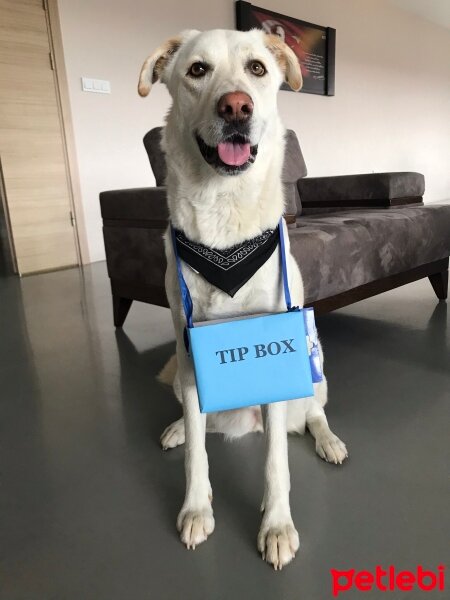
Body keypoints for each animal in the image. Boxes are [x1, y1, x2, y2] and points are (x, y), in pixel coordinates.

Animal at [139, 29, 350, 572]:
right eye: (197, 70)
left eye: (257, 68)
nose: (236, 106)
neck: (224, 214)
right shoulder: (191, 353)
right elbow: (197, 455)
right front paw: (196, 507)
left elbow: (277, 465)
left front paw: (276, 526)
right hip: (185, 378)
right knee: (199, 427)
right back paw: (178, 428)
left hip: (310, 379)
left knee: (313, 415)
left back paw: (329, 441)